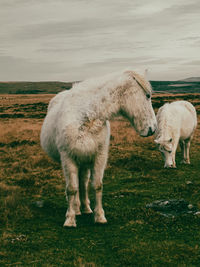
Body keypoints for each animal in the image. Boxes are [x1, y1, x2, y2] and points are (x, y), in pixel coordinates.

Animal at [40, 70, 156, 227]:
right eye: (147, 95)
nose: (153, 129)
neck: (87, 115)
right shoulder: (68, 157)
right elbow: (71, 188)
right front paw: (70, 219)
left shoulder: (99, 156)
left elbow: (97, 185)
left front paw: (99, 216)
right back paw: (76, 210)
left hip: (84, 162)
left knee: (83, 183)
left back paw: (84, 208)